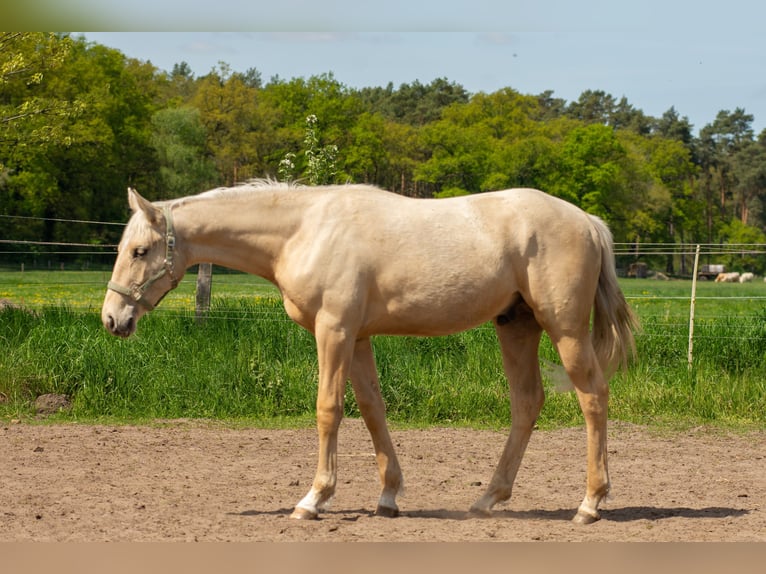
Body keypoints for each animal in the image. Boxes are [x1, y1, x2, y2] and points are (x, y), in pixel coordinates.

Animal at [102, 180, 638, 524]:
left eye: (139, 251)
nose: (112, 319)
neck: (304, 230)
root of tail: (587, 221)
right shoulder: (357, 339)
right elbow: (373, 409)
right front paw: (388, 496)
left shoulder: (334, 331)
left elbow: (329, 410)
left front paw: (314, 499)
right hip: (516, 326)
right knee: (527, 404)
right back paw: (488, 499)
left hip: (565, 330)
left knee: (593, 398)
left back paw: (589, 505)